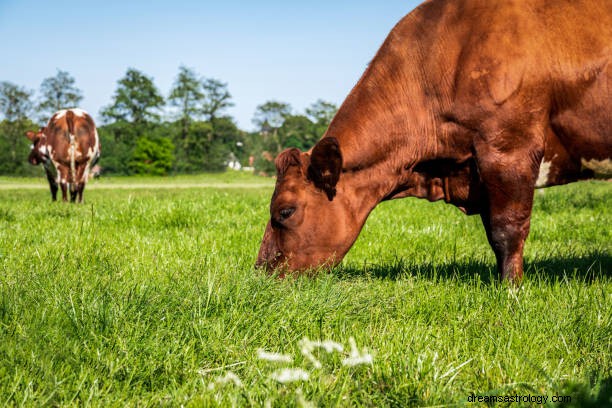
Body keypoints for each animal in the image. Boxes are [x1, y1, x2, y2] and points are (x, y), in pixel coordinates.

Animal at [258, 0, 612, 282]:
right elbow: (493, 232)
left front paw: (511, 290)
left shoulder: (508, 148)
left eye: (285, 211)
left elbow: (506, 230)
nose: (261, 274)